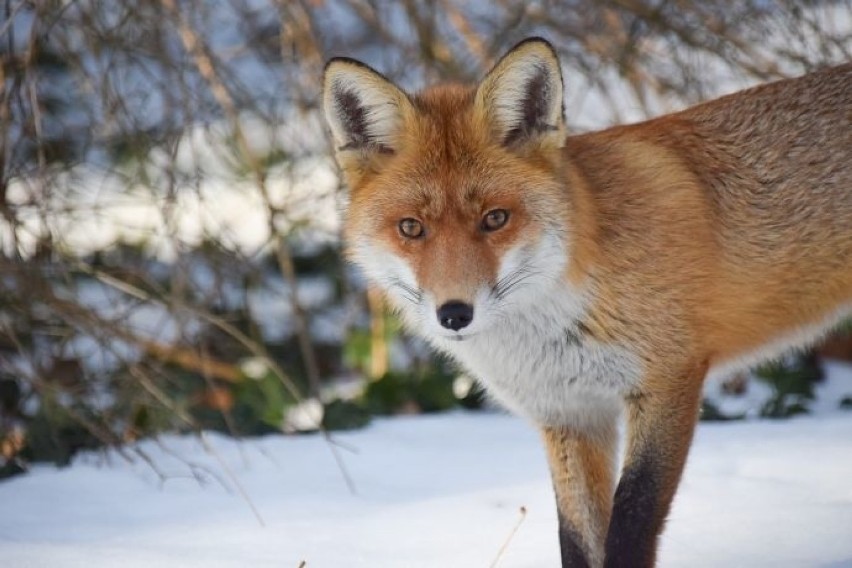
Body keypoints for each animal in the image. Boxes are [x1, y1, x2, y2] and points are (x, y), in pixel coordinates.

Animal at [322, 37, 852, 564]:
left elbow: (630, 523)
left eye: (495, 219)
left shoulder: (668, 383)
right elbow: (576, 539)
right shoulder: (570, 416)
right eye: (412, 228)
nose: (454, 313)